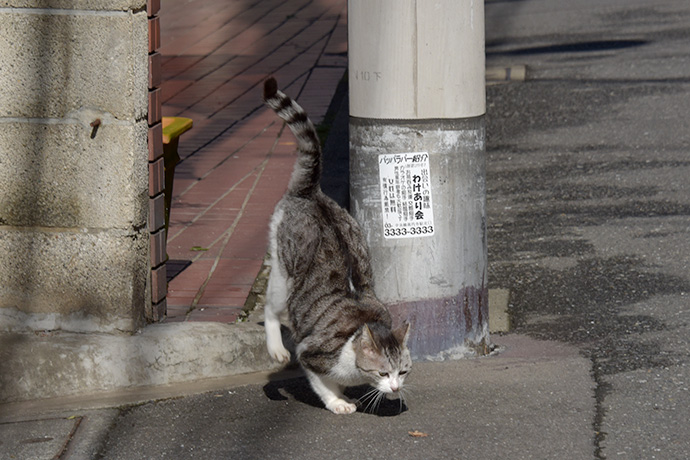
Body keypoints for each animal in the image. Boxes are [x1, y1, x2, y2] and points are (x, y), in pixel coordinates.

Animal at [260, 77, 408, 416]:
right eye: (384, 373)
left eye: (403, 371)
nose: (395, 388)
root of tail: (310, 192)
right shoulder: (310, 353)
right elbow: (322, 383)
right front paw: (339, 402)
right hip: (284, 276)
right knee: (270, 308)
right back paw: (276, 350)